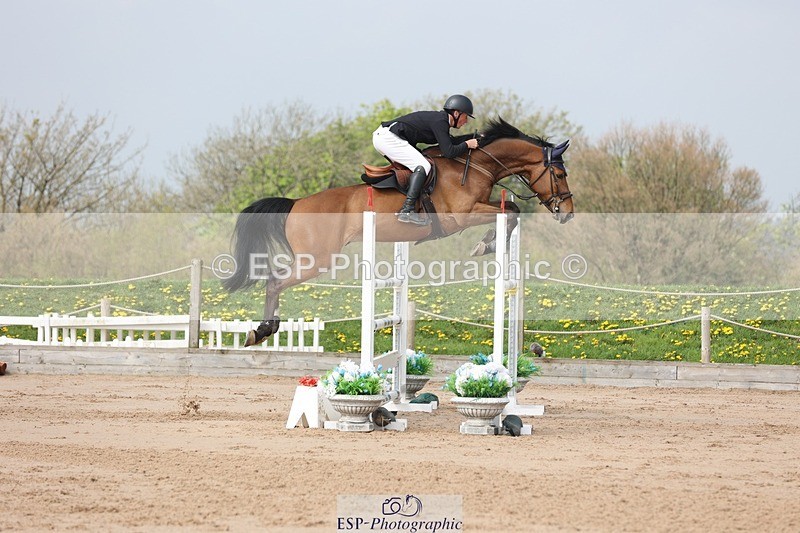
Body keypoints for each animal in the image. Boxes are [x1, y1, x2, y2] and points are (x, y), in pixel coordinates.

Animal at [223, 118, 574, 347]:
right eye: (559, 174)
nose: (567, 213)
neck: (476, 166)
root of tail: (296, 203)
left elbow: (511, 210)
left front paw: (487, 243)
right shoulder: (460, 217)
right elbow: (511, 212)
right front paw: (486, 245)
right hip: (316, 259)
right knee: (274, 281)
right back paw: (262, 330)